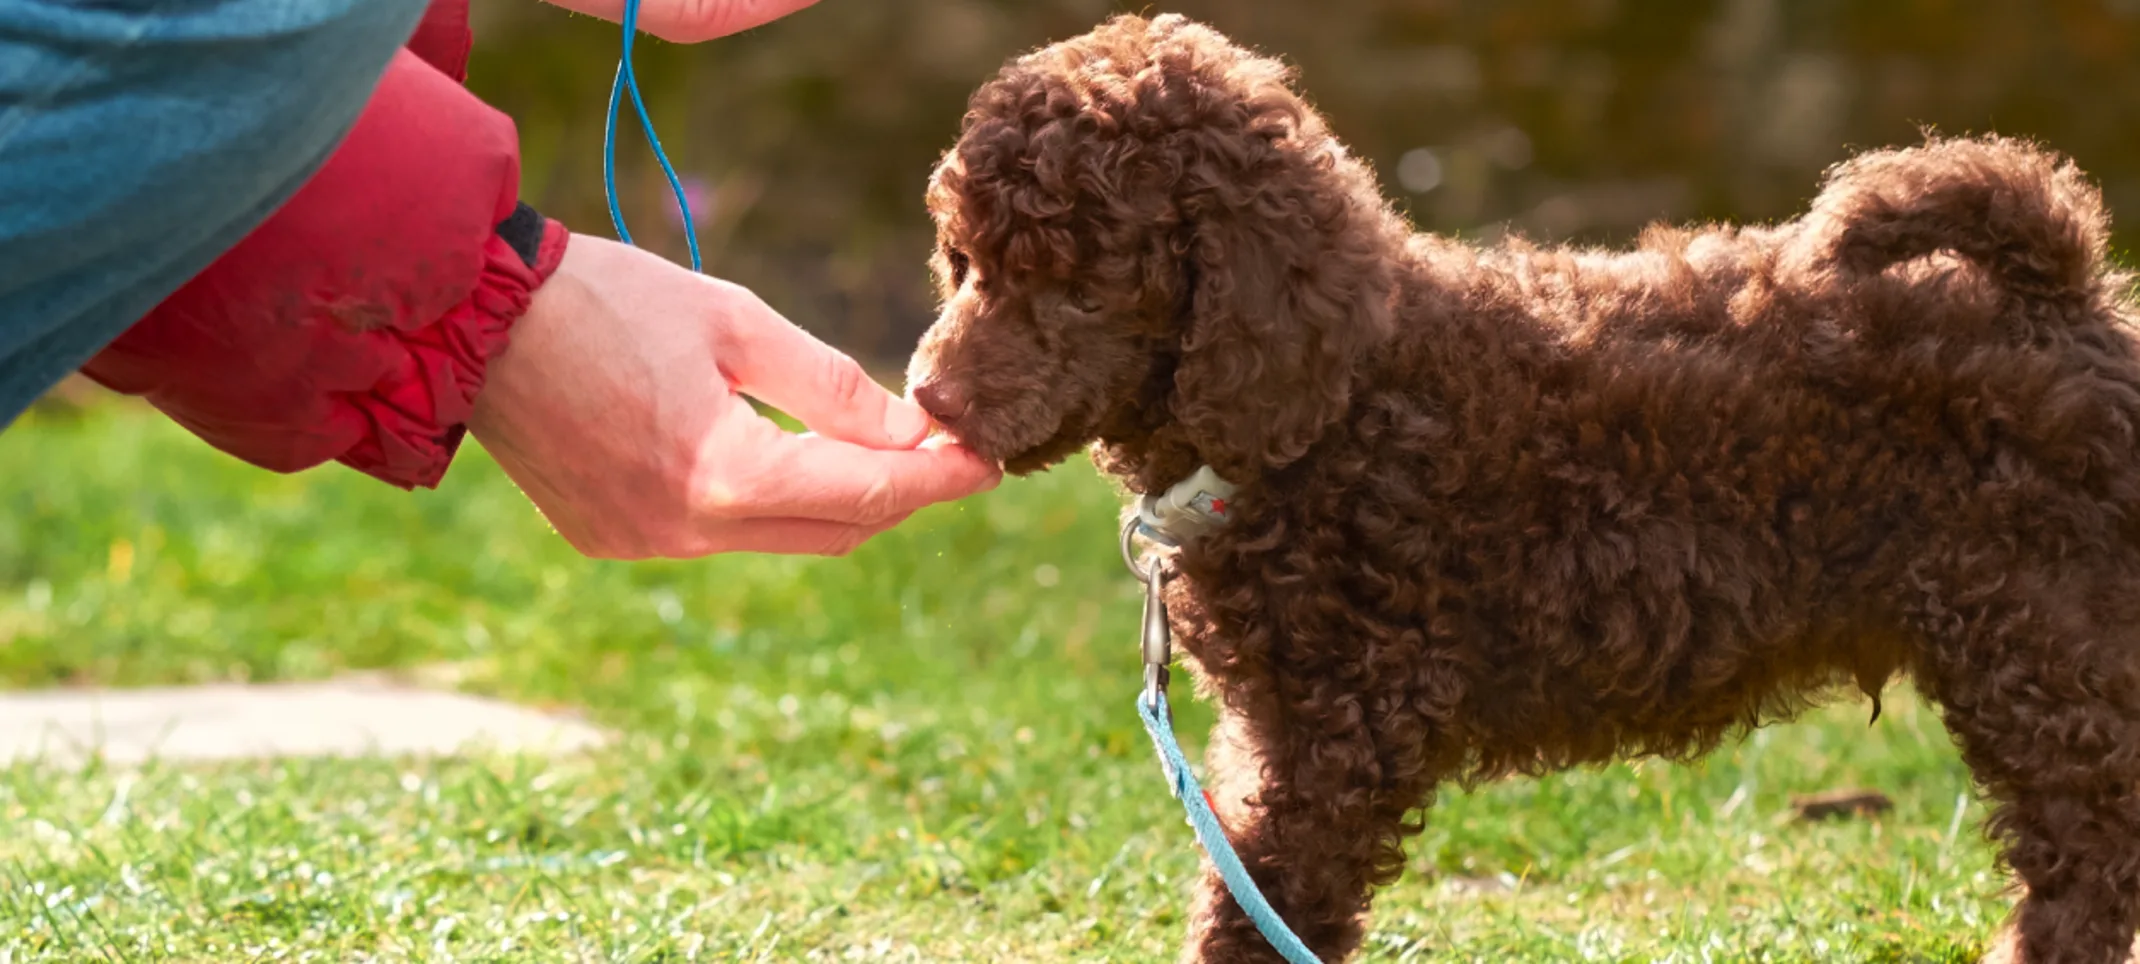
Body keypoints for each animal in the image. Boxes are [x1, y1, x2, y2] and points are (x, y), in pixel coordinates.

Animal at [911, 13, 2140, 964]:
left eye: (1077, 286)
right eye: (964, 262)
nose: (926, 397)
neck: (1338, 402)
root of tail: (2065, 298)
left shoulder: (1334, 732)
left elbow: (1259, 906)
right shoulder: (1277, 732)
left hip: (2047, 645)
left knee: (2092, 855)